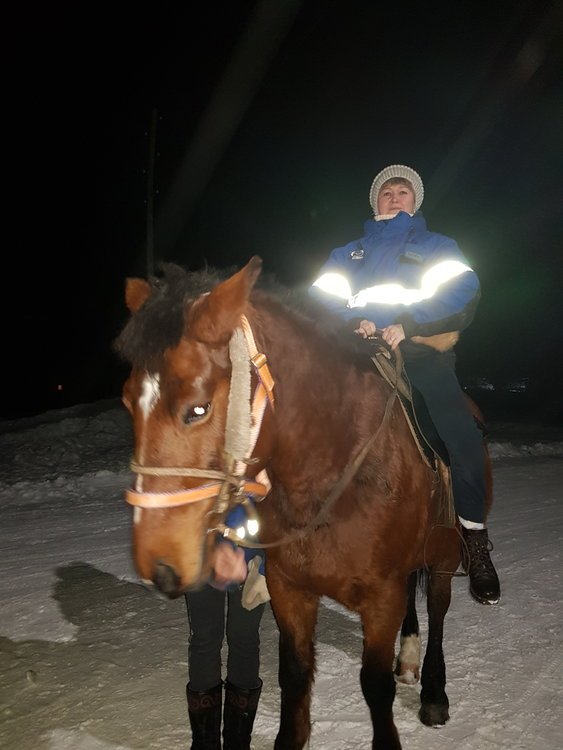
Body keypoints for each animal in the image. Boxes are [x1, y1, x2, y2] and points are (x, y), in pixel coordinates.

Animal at [115, 256, 493, 749]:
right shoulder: (289, 591)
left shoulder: (382, 598)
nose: (158, 566)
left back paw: (433, 690)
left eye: (197, 408)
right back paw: (408, 657)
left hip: (446, 555)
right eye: (128, 402)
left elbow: (375, 685)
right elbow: (293, 675)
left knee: (439, 610)